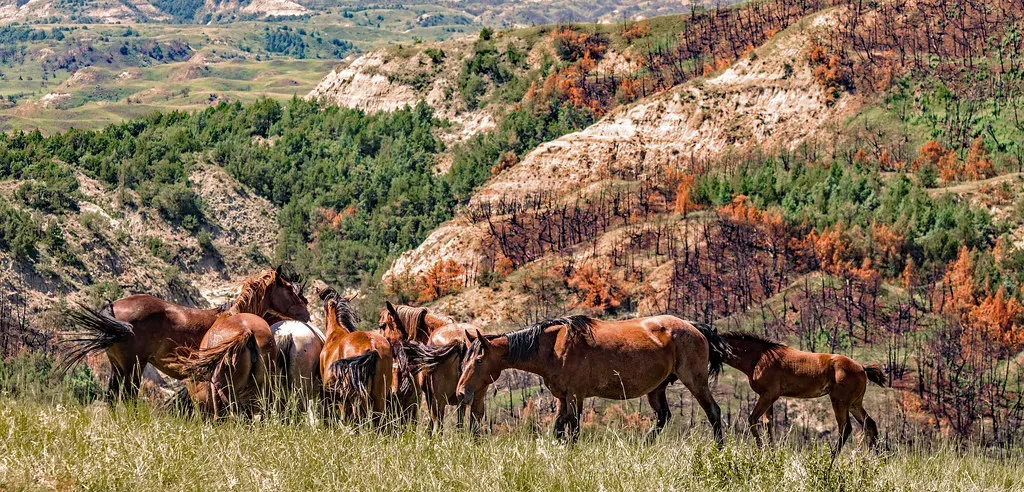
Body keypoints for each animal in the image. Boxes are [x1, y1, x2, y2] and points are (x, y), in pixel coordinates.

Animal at [60, 267, 310, 402]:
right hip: (133, 366)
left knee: (113, 396)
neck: (233, 316)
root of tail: (114, 306)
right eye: (289, 289)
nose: (306, 311)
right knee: (129, 395)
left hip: (119, 366)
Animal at [455, 315, 729, 443]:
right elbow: (559, 428)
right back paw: (644, 445)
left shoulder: (576, 396)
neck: (553, 347)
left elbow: (574, 428)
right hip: (657, 389)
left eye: (477, 361)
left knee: (713, 412)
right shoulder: (562, 397)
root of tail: (694, 327)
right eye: (464, 361)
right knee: (663, 418)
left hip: (695, 381)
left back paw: (718, 448)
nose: (461, 393)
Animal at [719, 332, 885, 455]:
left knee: (845, 428)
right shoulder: (767, 398)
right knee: (870, 424)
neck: (759, 357)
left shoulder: (768, 395)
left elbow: (752, 419)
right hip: (854, 404)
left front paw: (762, 452)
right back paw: (878, 459)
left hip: (840, 402)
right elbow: (768, 424)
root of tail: (862, 367)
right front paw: (771, 454)